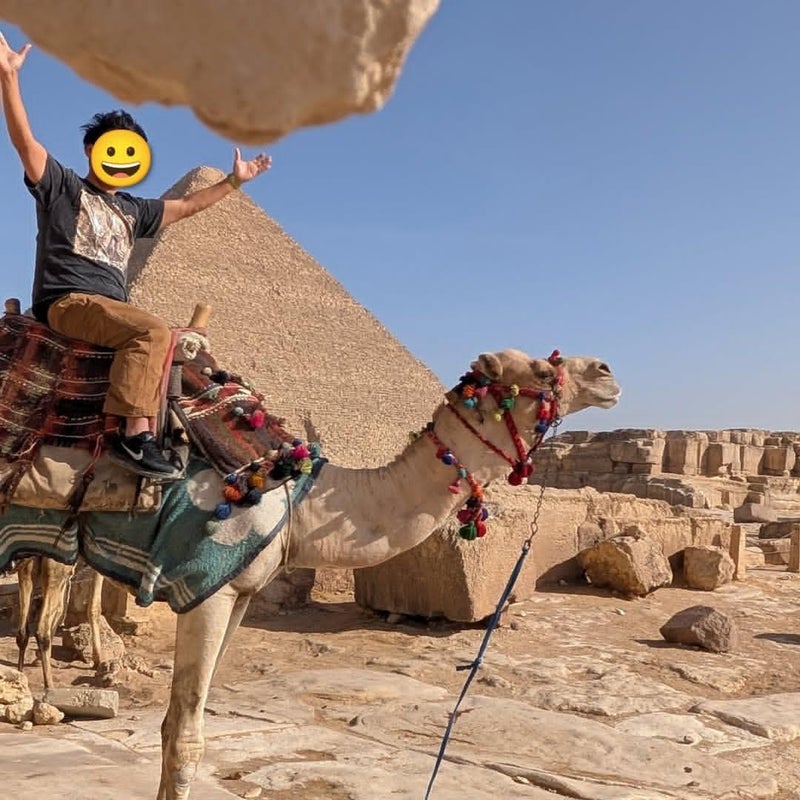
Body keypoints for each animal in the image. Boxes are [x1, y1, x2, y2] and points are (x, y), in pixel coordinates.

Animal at [1, 344, 619, 799]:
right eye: (543, 369)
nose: (608, 372)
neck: (301, 500)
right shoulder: (204, 586)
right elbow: (187, 739)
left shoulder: (238, 592)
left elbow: (174, 724)